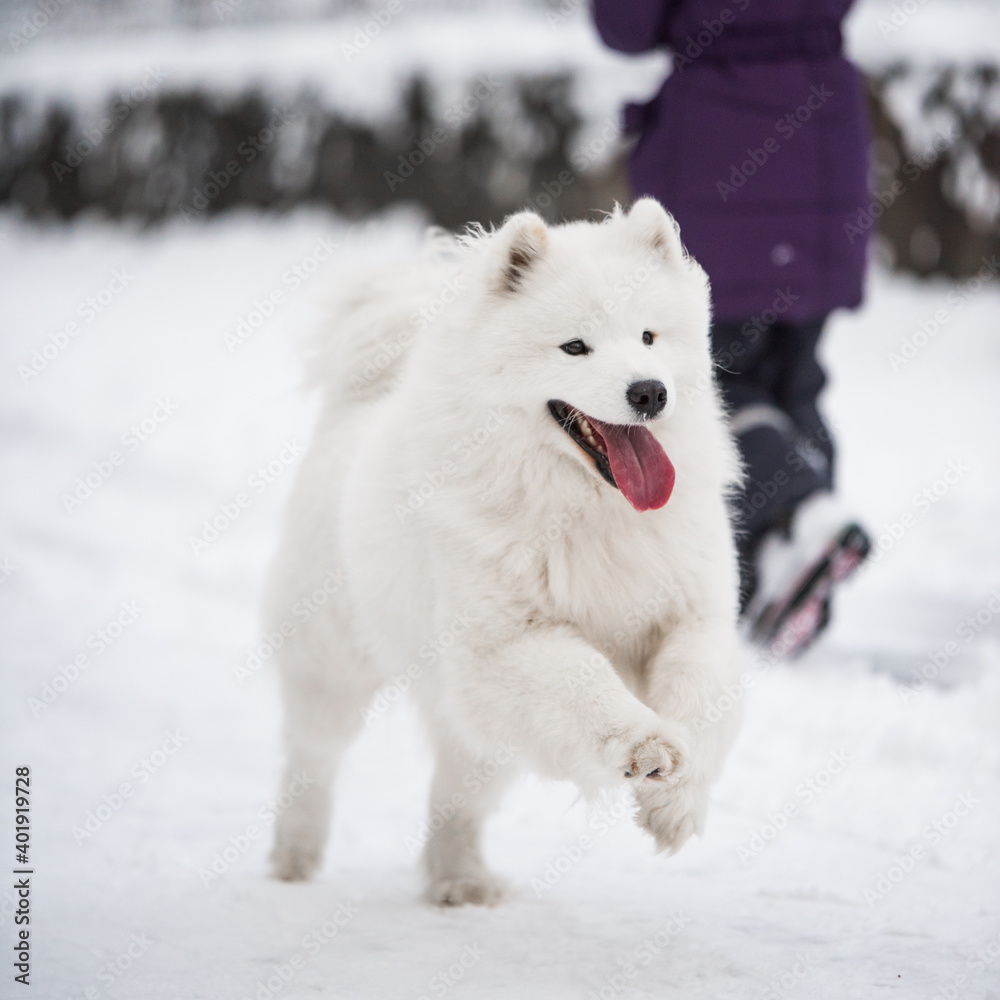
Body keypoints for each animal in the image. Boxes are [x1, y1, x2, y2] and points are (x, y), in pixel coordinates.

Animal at [264, 197, 744, 908]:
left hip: (475, 724)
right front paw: (647, 747)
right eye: (575, 346)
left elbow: (699, 690)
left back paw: (458, 880)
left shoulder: (691, 615)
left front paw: (675, 805)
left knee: (455, 798)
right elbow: (587, 684)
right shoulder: (504, 646)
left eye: (649, 338)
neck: (591, 513)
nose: (650, 392)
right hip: (333, 662)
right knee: (311, 758)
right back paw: (294, 857)